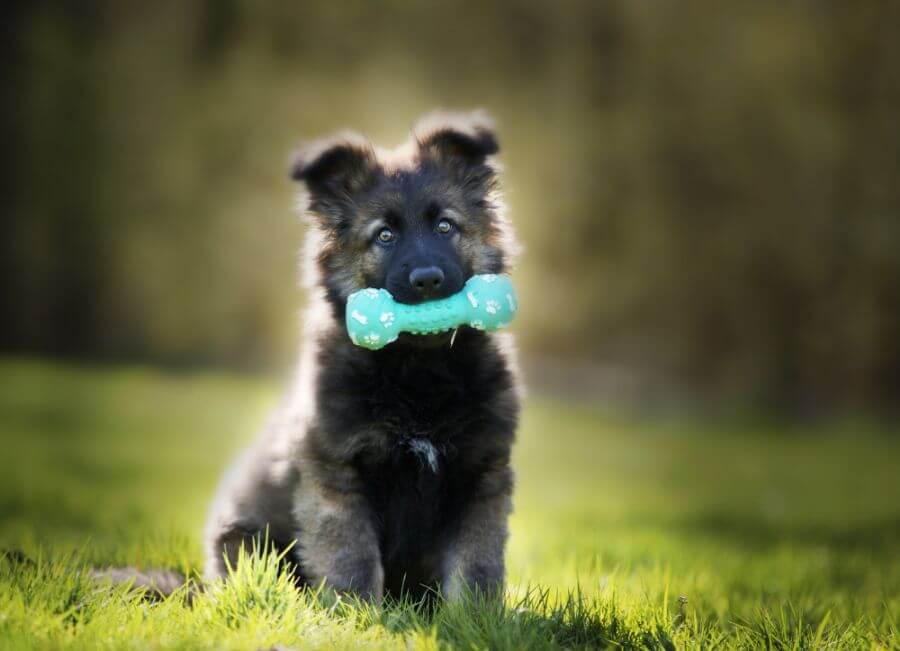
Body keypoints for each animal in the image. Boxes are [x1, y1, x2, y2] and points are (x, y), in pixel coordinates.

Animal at [204, 109, 520, 604]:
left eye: (445, 227)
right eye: (384, 236)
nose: (427, 280)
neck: (419, 371)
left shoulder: (481, 473)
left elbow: (476, 566)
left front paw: (475, 616)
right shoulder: (336, 476)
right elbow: (350, 558)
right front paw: (358, 613)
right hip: (245, 541)